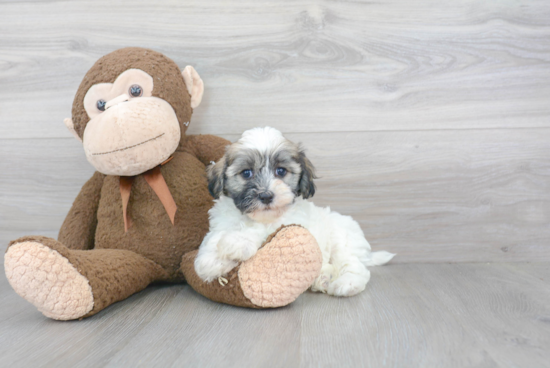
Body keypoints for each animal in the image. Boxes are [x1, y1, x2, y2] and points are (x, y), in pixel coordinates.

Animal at [196, 126, 394, 296]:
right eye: (246, 173)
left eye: (281, 171)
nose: (266, 196)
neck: (255, 218)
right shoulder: (222, 221)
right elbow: (214, 237)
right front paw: (210, 261)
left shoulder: (290, 223)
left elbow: (264, 231)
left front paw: (237, 242)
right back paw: (323, 278)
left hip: (343, 240)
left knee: (355, 266)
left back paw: (346, 283)